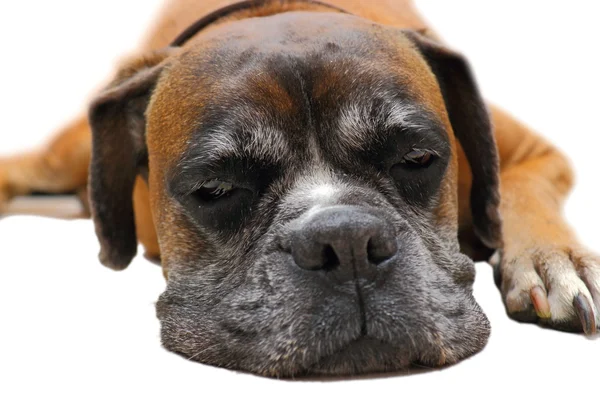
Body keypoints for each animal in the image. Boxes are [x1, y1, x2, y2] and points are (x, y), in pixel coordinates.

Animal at [1, 0, 600, 376]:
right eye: (214, 189)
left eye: (417, 159)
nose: (348, 241)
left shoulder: (534, 154)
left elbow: (521, 194)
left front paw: (551, 260)